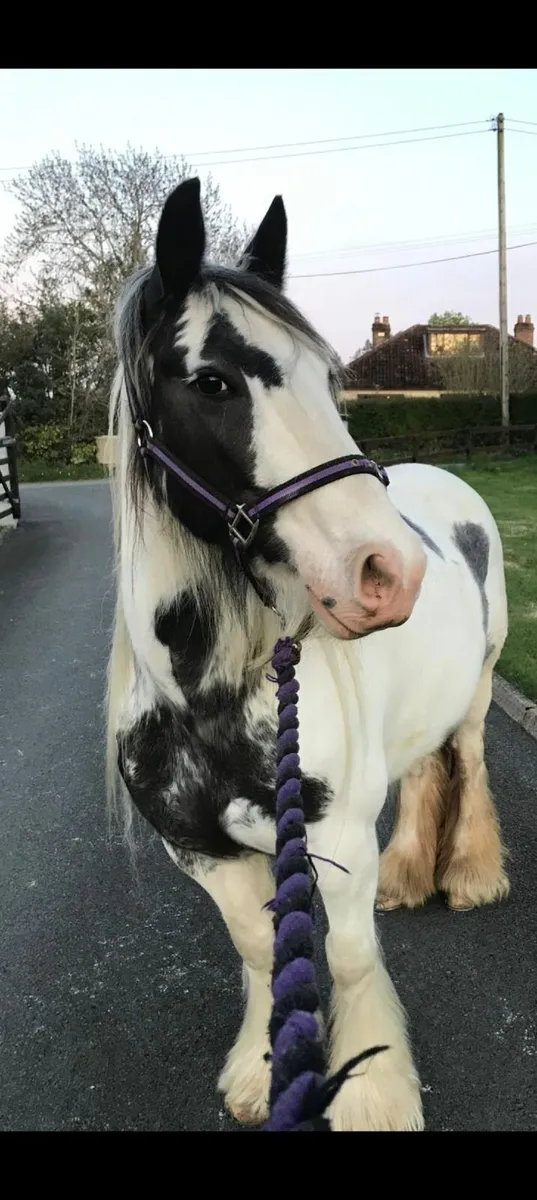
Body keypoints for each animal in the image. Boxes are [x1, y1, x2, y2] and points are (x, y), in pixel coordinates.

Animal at [106, 177, 509, 1132]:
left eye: (329, 379)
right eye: (212, 382)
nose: (386, 573)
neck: (210, 700)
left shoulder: (333, 837)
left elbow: (353, 958)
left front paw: (370, 1094)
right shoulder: (202, 854)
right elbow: (261, 950)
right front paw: (260, 1072)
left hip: (478, 688)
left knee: (468, 763)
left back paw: (468, 874)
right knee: (422, 775)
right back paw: (411, 873)